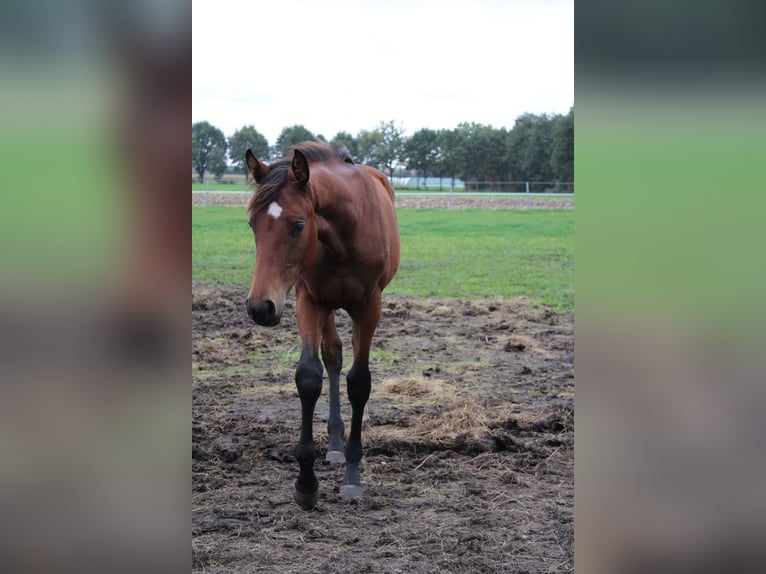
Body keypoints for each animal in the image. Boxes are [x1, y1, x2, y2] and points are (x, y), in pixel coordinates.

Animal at [244, 142, 400, 510]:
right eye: (252, 224)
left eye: (299, 225)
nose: (260, 307)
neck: (344, 234)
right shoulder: (309, 301)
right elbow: (309, 376)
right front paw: (306, 483)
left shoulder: (369, 306)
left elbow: (359, 383)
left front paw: (353, 475)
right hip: (326, 306)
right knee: (332, 356)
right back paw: (334, 444)